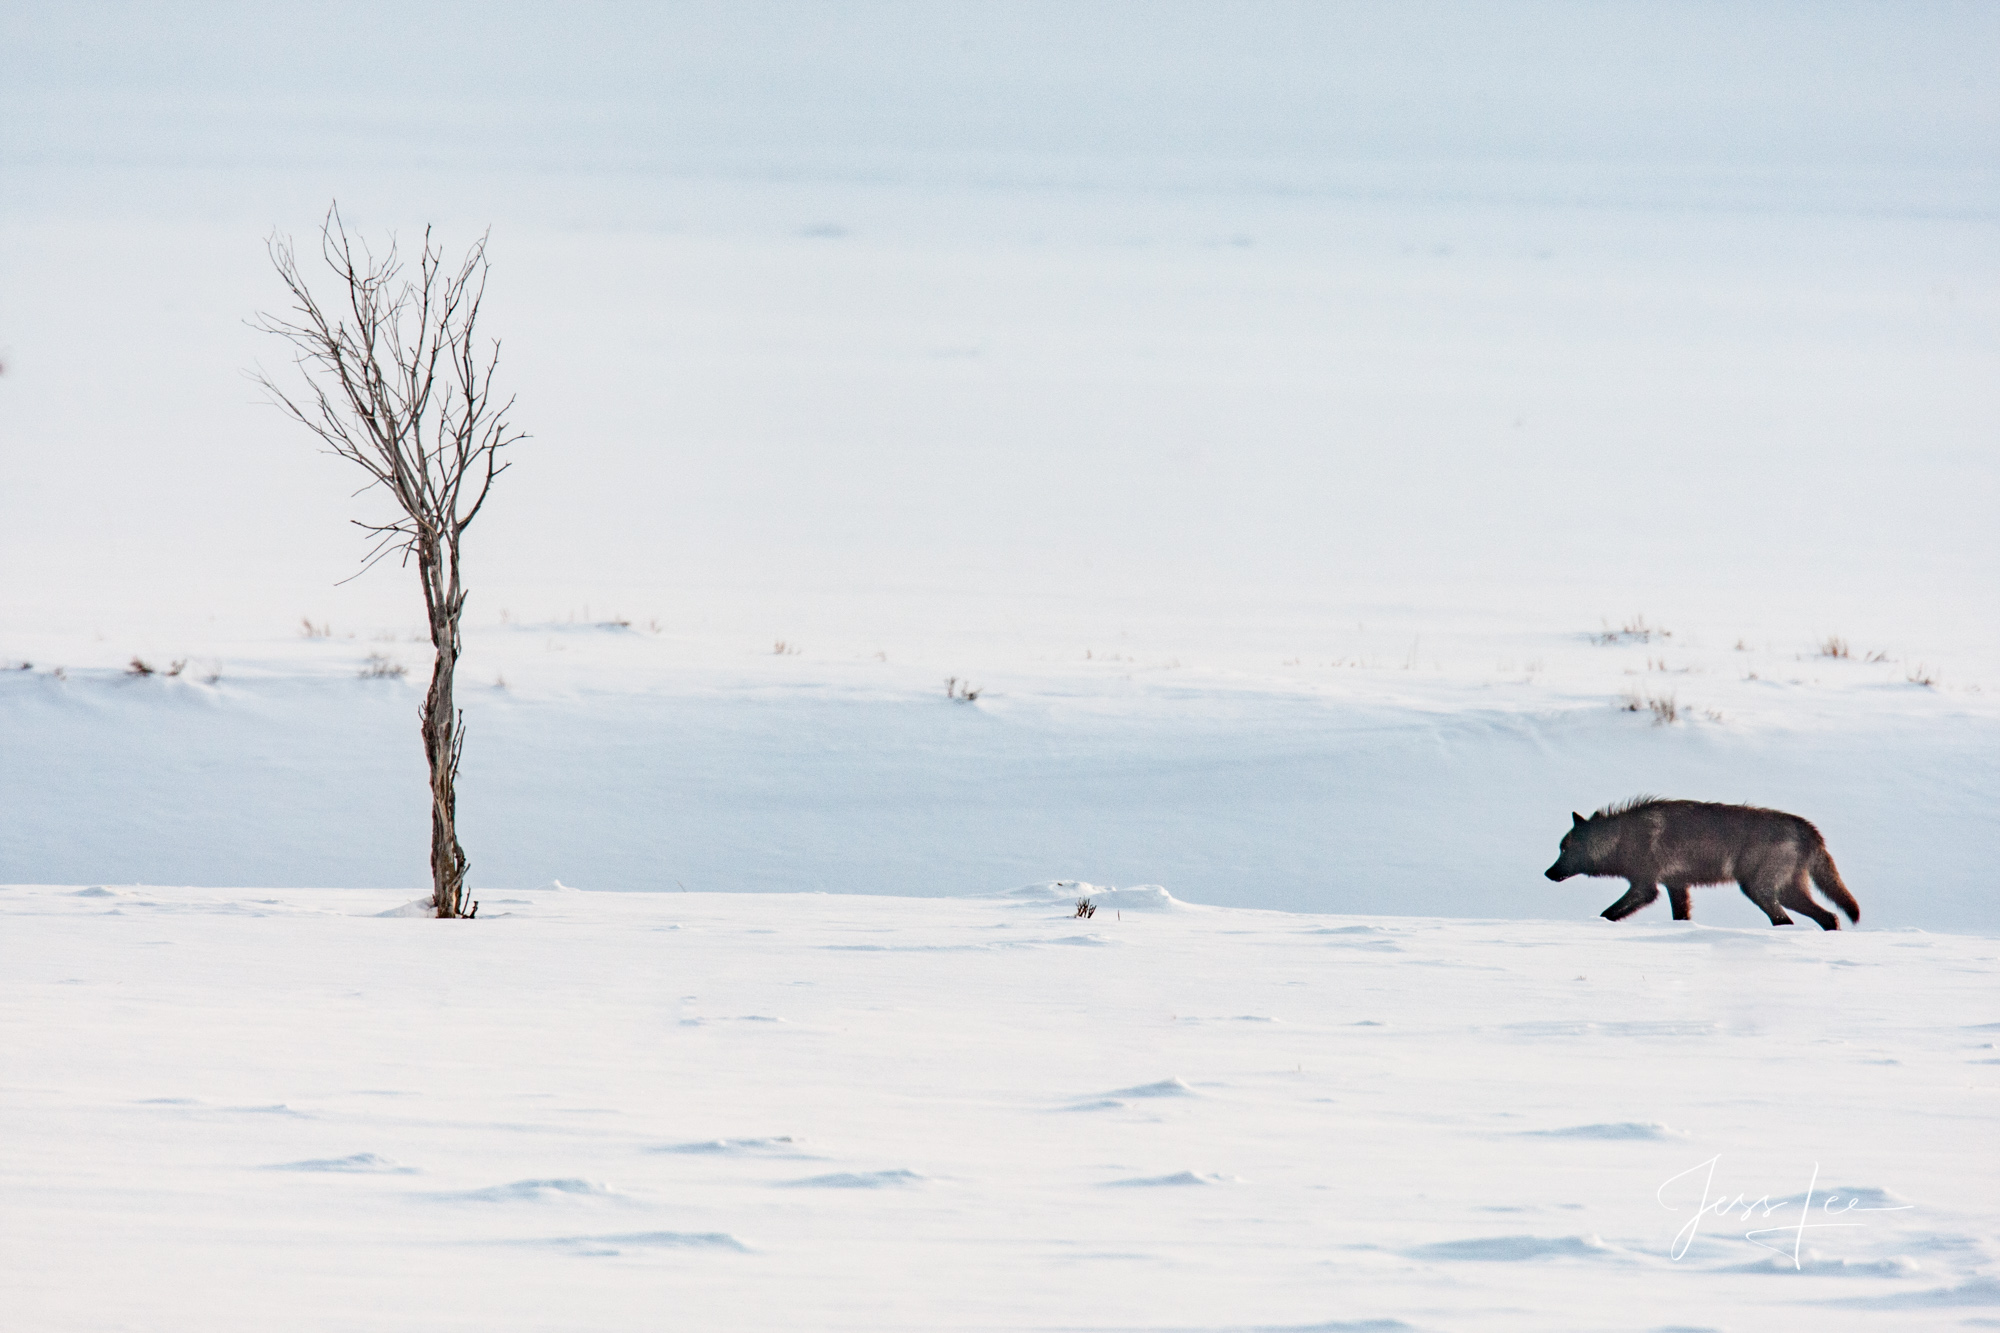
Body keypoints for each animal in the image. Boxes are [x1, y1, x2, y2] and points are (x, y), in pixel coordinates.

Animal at [1544, 792, 1856, 928]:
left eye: (1564, 850)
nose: (1548, 873)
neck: (1622, 837)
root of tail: (1807, 827)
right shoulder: (1675, 886)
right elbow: (1681, 917)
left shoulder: (1644, 888)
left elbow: (1608, 914)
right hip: (1788, 893)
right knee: (1829, 917)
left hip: (1760, 891)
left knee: (1786, 921)